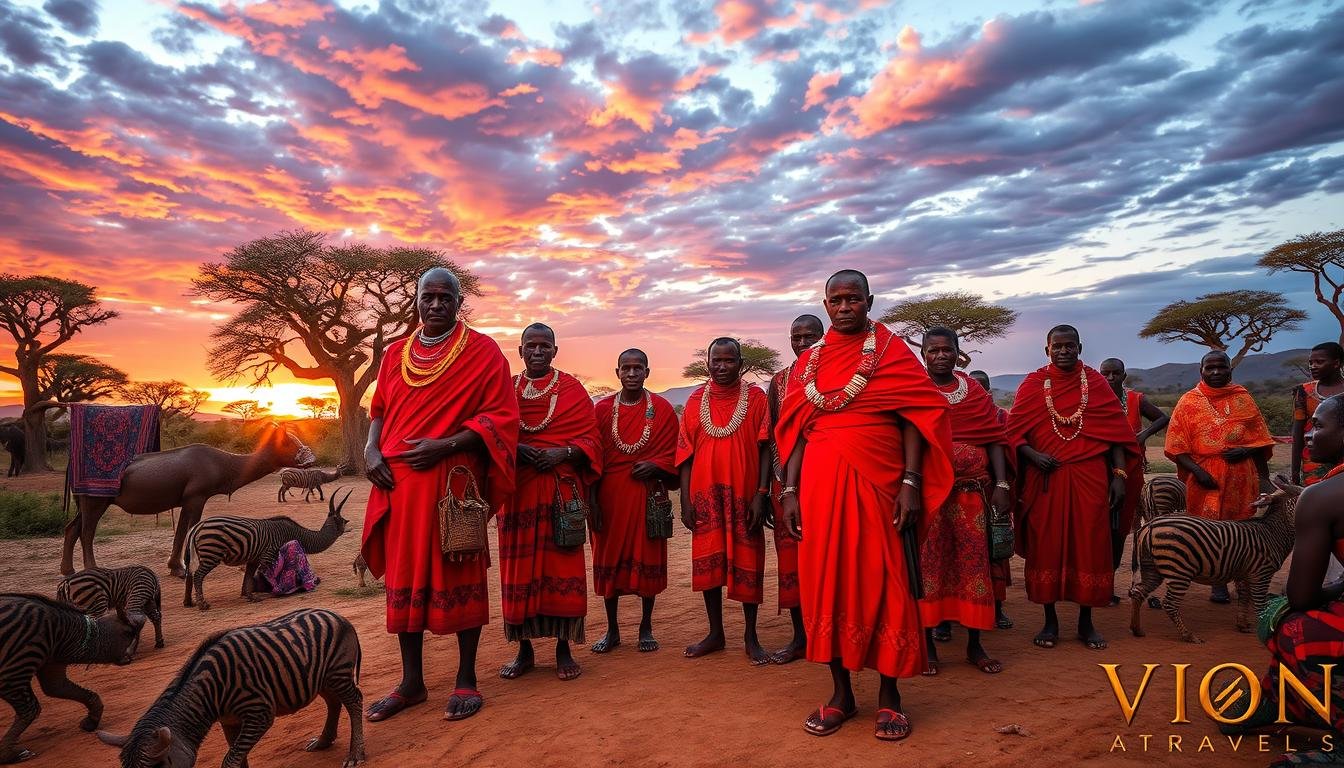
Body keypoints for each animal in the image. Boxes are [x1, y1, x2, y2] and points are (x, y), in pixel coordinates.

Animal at [0, 594, 144, 763]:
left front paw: (91, 721)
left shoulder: (53, 670)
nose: (129, 658)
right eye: (129, 634)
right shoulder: (11, 677)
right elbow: (31, 709)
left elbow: (86, 695)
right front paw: (8, 754)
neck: (64, 631)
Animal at [96, 610, 365, 763]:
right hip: (321, 677)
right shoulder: (229, 721)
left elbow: (231, 759)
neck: (211, 693)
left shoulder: (260, 715)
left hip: (337, 672)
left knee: (354, 702)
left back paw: (355, 754)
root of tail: (338, 616)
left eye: (160, 765)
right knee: (334, 702)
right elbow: (238, 757)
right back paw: (323, 742)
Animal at [184, 489, 352, 610]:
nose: (348, 529)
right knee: (198, 575)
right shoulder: (268, 557)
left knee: (191, 575)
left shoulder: (254, 559)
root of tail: (197, 527)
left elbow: (248, 578)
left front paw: (249, 596)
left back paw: (190, 602)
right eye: (342, 521)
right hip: (212, 555)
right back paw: (202, 604)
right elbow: (261, 577)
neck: (295, 533)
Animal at [1123, 476, 1300, 642]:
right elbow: (1260, 604)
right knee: (1170, 603)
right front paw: (1266, 631)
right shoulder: (1261, 574)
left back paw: (1136, 629)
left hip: (1152, 567)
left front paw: (1242, 625)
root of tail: (1150, 525)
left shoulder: (1245, 574)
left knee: (1138, 592)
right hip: (1179, 570)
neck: (1272, 534)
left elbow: (1244, 598)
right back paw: (1188, 635)